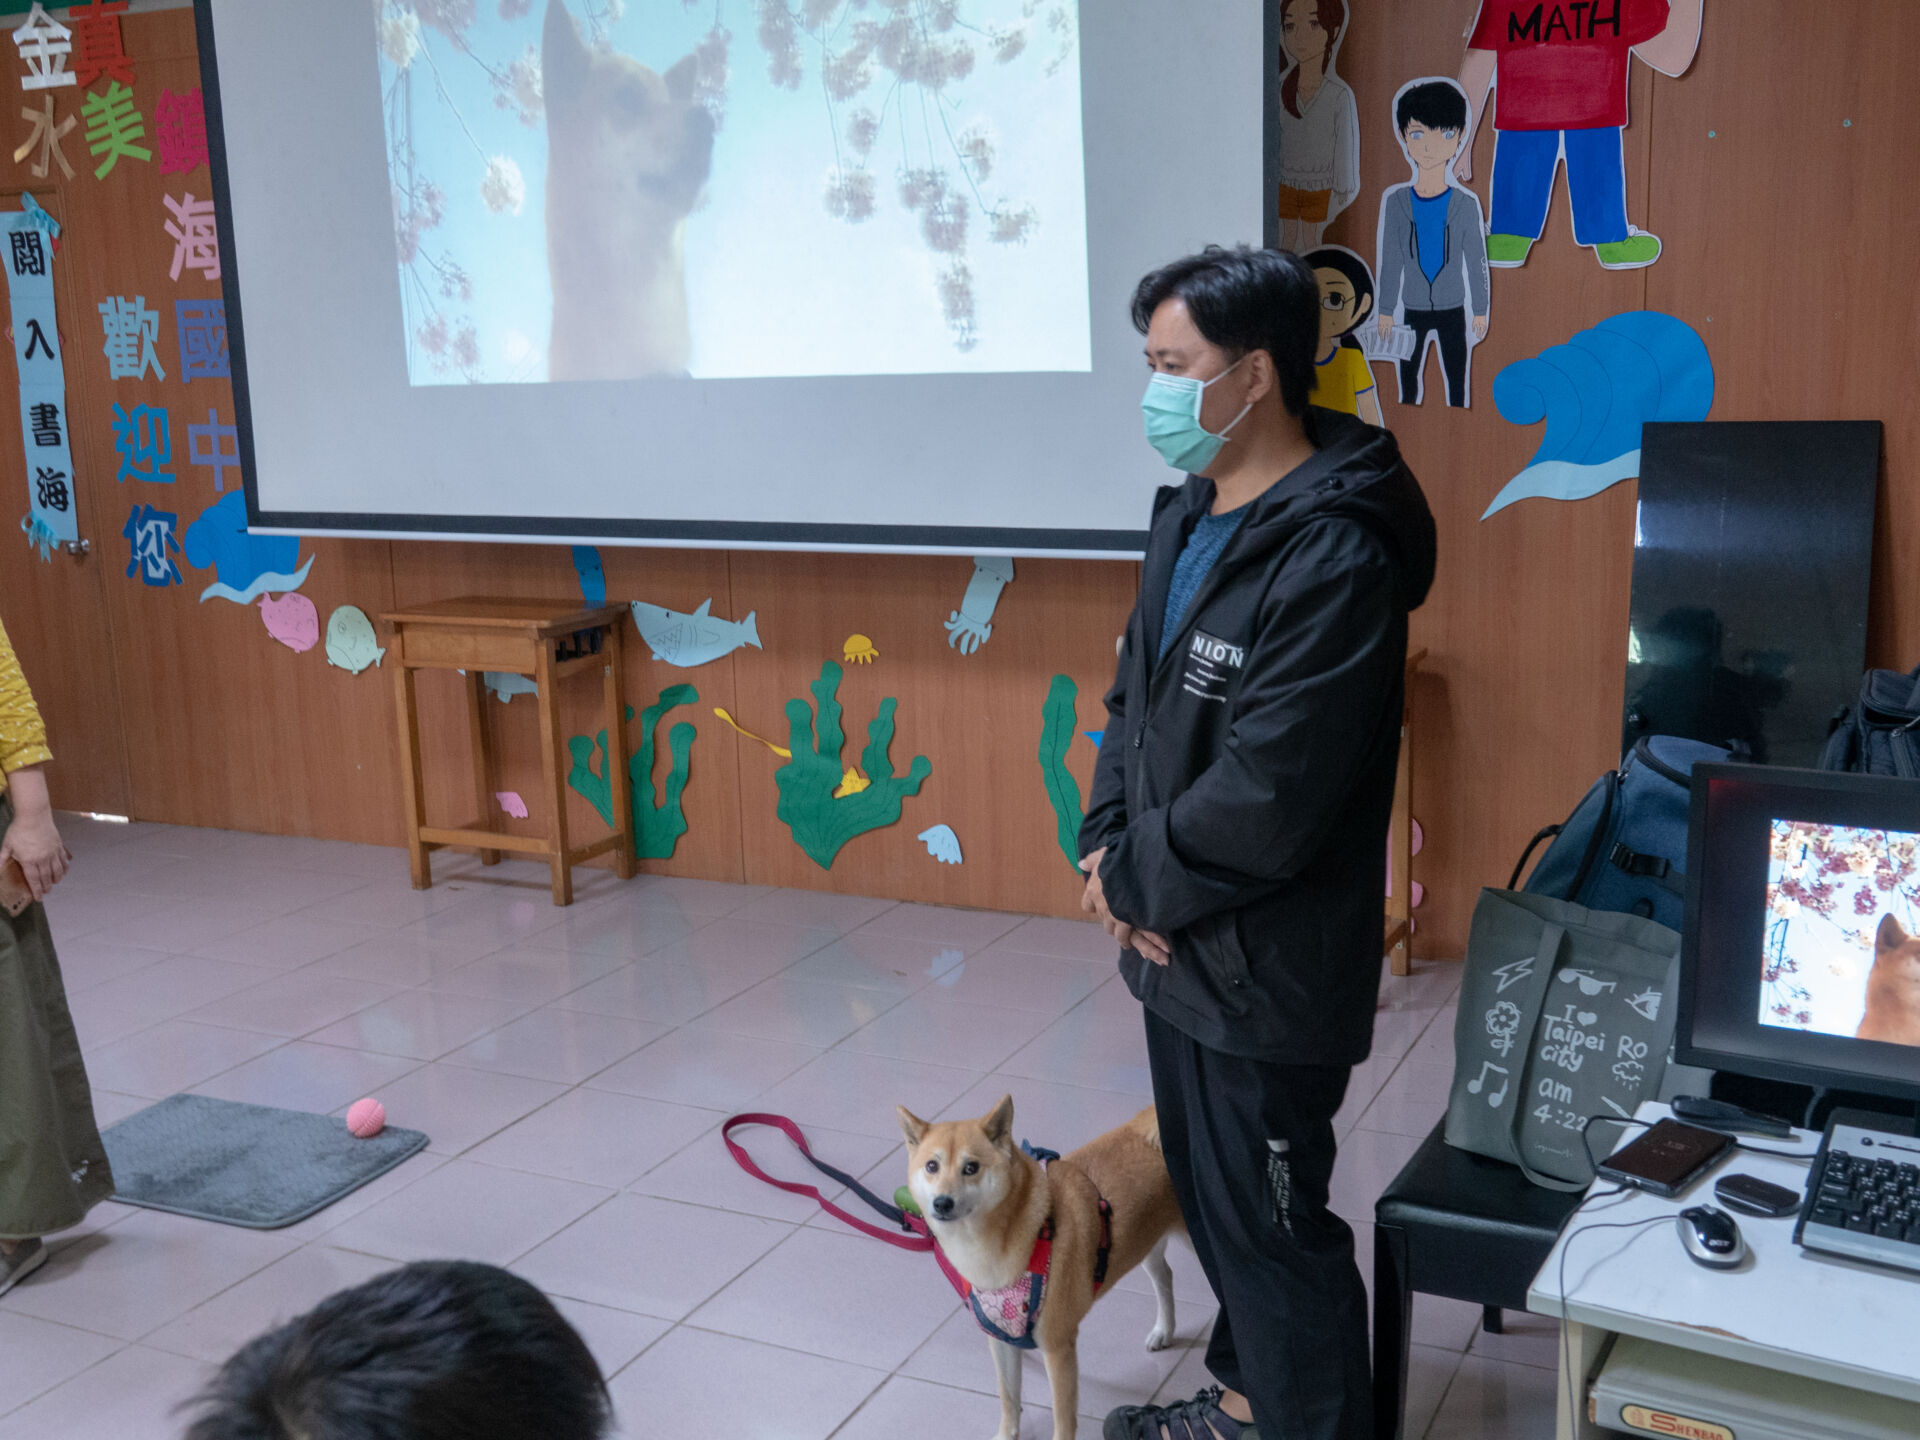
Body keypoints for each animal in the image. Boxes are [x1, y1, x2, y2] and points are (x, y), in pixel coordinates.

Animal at [898, 1098, 1182, 1436]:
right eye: (932, 1166)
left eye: (971, 1168)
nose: (941, 1203)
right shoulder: (1002, 1340)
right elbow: (1008, 1398)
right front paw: (1005, 1434)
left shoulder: (1058, 1347)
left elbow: (1063, 1418)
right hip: (1146, 1240)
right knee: (1165, 1275)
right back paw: (1163, 1330)